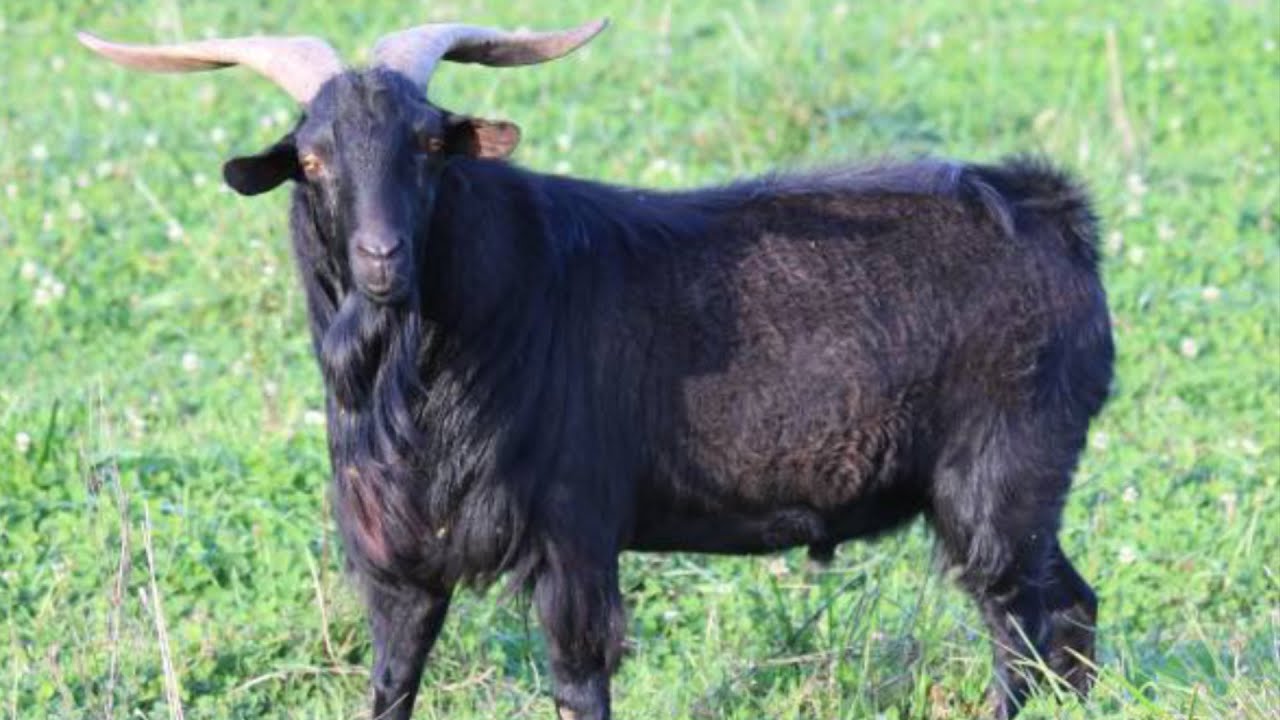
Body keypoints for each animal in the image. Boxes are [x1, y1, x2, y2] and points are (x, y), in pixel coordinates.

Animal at [79, 19, 1113, 720]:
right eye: (311, 156)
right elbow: (392, 683)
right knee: (1072, 614)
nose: (381, 257)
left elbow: (579, 681)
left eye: (428, 143)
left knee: (1027, 626)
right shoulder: (399, 561)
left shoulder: (572, 531)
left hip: (1001, 482)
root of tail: (1057, 214)